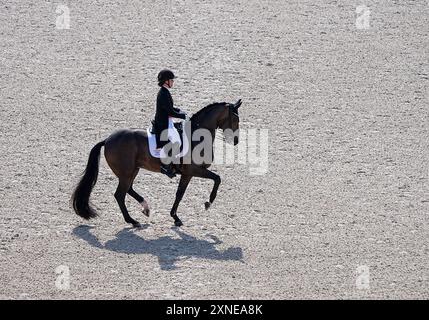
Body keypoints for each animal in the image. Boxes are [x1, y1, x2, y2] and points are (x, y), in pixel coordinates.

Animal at [70, 100, 241, 228]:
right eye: (236, 119)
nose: (236, 141)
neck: (197, 136)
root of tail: (107, 140)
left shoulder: (188, 174)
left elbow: (180, 193)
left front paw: (175, 217)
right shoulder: (193, 170)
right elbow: (217, 178)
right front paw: (208, 202)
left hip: (133, 170)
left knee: (128, 190)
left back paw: (145, 208)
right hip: (126, 173)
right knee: (120, 194)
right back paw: (133, 221)